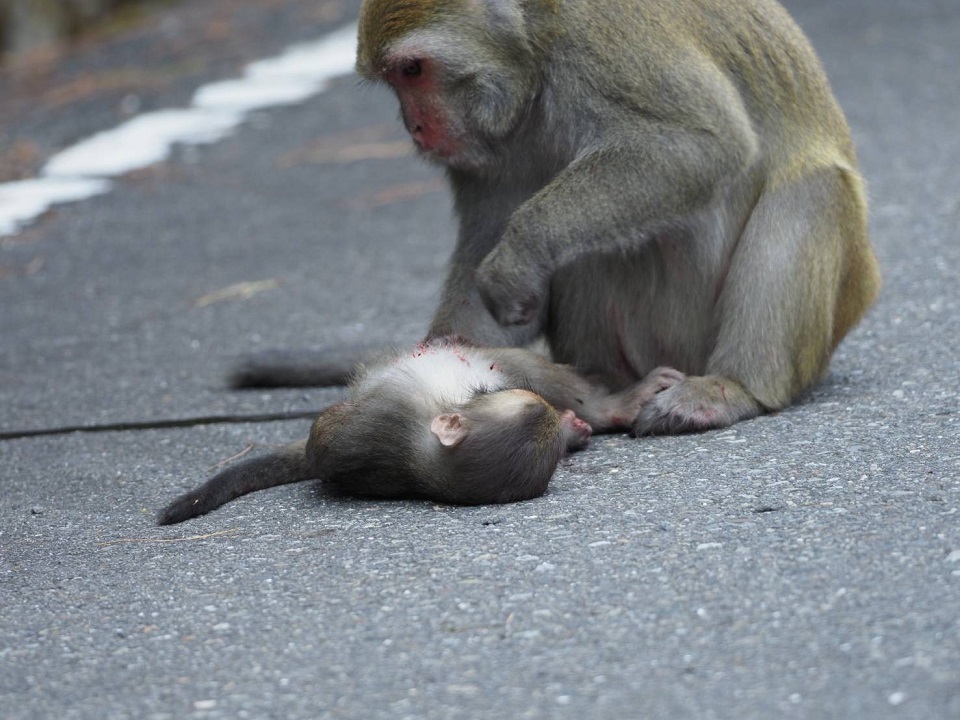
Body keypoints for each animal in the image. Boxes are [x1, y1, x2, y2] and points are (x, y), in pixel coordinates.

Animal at [238, 0, 876, 434]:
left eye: (413, 70)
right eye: (397, 77)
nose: (413, 127)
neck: (535, 47)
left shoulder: (605, 39)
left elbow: (699, 143)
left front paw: (521, 249)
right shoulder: (488, 139)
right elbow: (489, 235)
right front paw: (443, 361)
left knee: (813, 192)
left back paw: (731, 387)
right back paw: (605, 391)